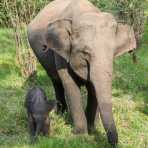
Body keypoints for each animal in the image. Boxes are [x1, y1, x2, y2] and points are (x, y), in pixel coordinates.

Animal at [27, 0, 136, 146]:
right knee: (56, 81)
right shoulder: (61, 53)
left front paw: (92, 130)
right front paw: (81, 136)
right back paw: (60, 113)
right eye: (85, 53)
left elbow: (93, 88)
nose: (113, 144)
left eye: (113, 53)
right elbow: (70, 85)